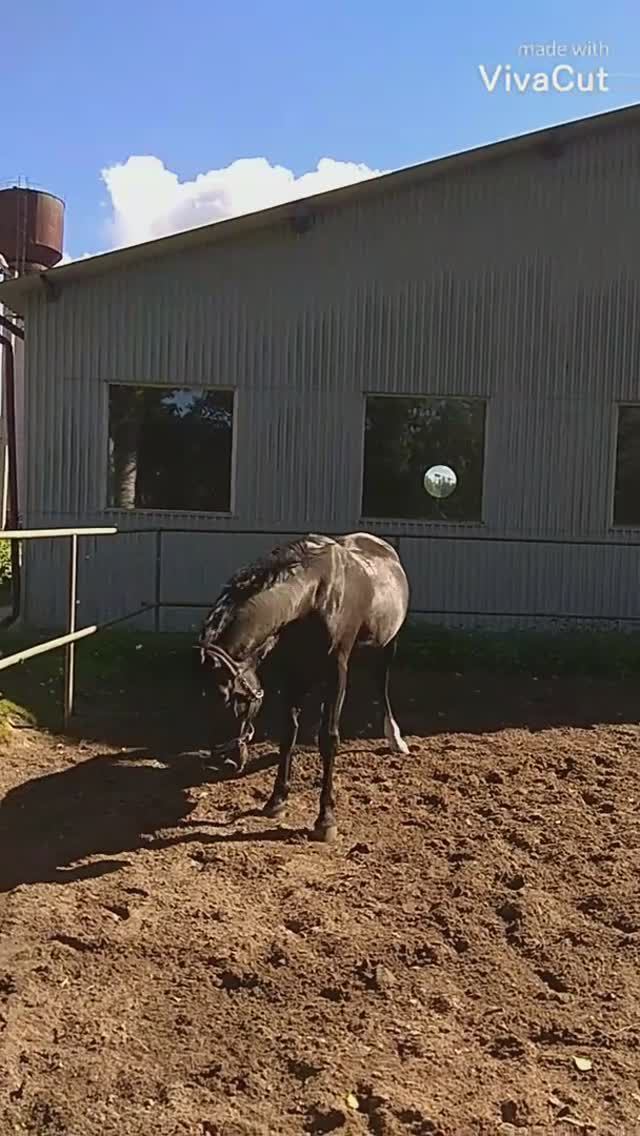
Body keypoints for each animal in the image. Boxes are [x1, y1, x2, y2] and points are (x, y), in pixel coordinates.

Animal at [196, 531, 411, 845]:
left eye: (230, 697)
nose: (224, 763)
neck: (314, 596)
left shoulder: (336, 671)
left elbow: (328, 739)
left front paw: (326, 819)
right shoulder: (294, 670)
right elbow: (288, 733)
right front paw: (276, 800)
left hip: (389, 643)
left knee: (381, 683)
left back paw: (395, 737)